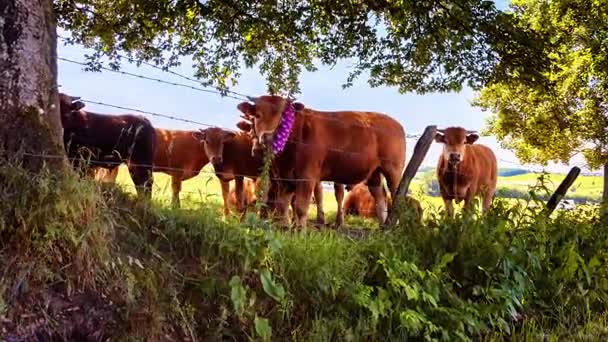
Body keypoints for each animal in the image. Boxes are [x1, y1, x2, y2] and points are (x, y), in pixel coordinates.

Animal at [236, 94, 404, 227]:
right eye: (257, 115)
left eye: (282, 115)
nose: (266, 138)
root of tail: (395, 123)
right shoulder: (285, 177)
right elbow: (283, 205)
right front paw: (285, 229)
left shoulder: (307, 177)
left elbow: (300, 208)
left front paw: (300, 234)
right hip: (374, 174)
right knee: (380, 199)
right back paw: (382, 227)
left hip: (393, 170)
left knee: (397, 195)